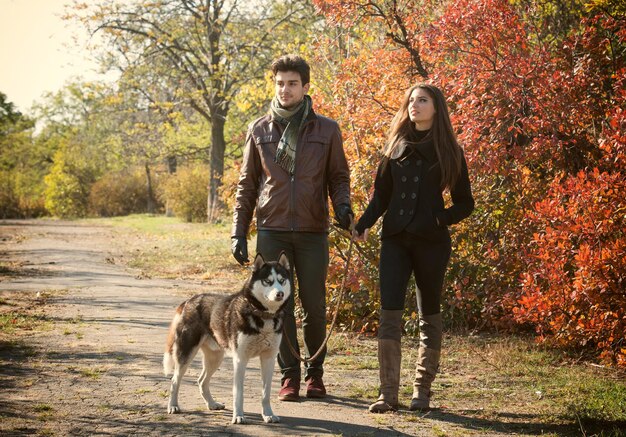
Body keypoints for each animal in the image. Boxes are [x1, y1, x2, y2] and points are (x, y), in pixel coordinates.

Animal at [160, 250, 288, 424]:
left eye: (282, 281)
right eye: (268, 281)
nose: (280, 294)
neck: (263, 316)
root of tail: (189, 300)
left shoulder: (269, 359)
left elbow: (265, 393)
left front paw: (268, 414)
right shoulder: (240, 359)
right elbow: (238, 393)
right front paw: (238, 416)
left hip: (215, 358)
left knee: (202, 381)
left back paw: (212, 404)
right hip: (185, 355)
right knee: (174, 381)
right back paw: (173, 406)